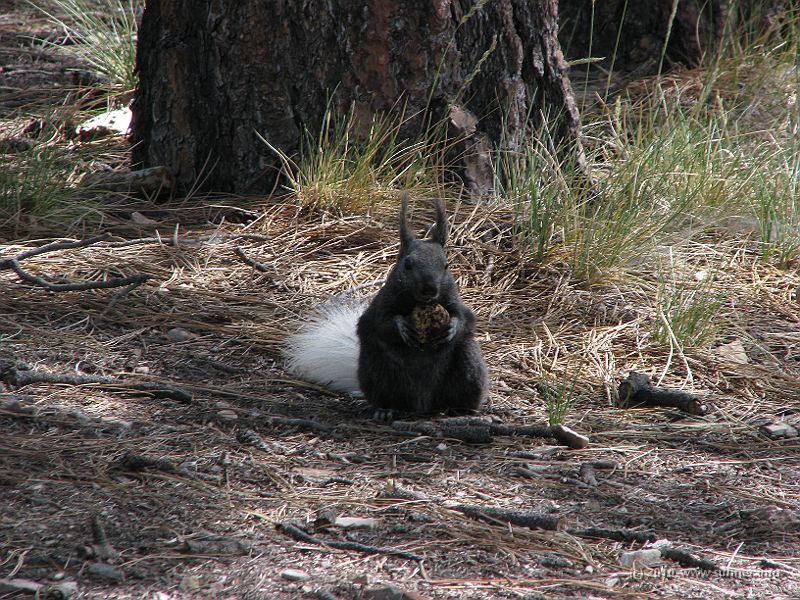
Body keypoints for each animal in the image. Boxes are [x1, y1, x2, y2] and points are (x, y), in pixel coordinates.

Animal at [284, 193, 489, 416]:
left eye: (446, 265)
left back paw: (460, 410)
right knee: (386, 395)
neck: (419, 302)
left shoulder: (454, 300)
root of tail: (421, 406)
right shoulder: (382, 304)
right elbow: (382, 322)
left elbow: (466, 318)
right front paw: (402, 327)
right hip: (377, 367)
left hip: (468, 366)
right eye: (407, 264)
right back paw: (386, 410)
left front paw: (452, 328)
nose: (430, 289)